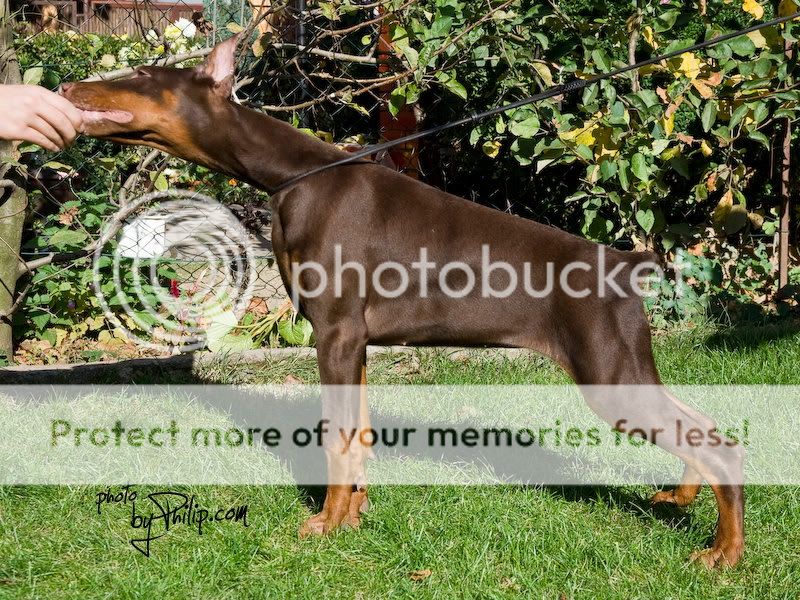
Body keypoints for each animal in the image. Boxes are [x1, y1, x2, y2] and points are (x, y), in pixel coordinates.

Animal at [62, 34, 744, 568]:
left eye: (140, 76)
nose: (67, 84)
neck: (289, 175)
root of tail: (626, 264)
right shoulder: (356, 342)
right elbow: (359, 435)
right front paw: (354, 517)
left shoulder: (335, 333)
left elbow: (335, 437)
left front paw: (325, 525)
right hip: (624, 363)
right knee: (701, 425)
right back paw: (683, 499)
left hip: (606, 369)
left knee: (717, 443)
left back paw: (724, 553)